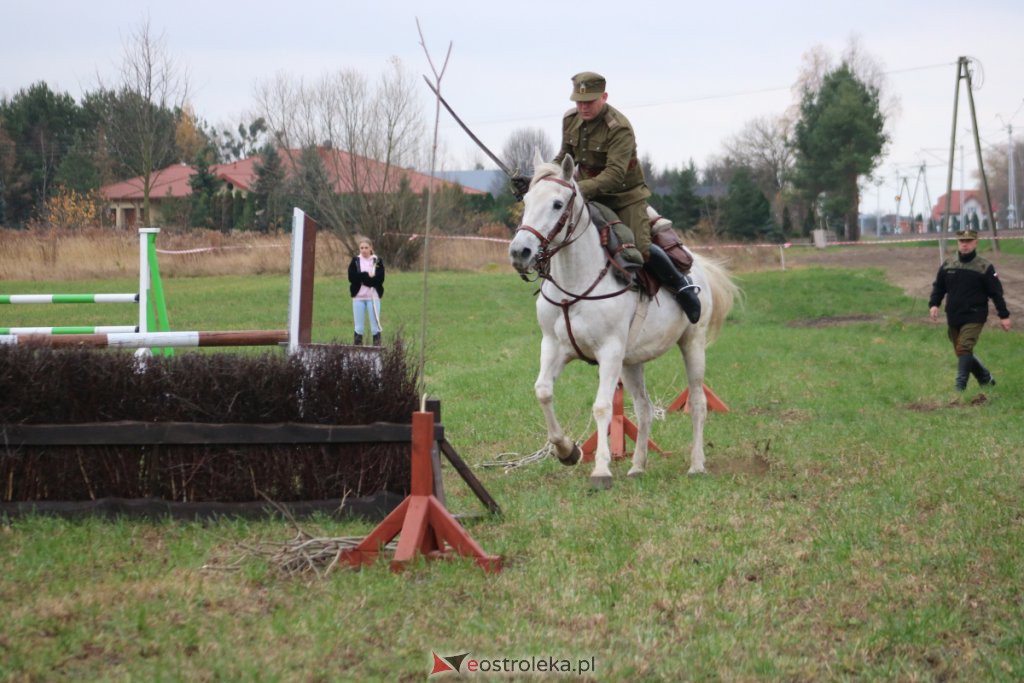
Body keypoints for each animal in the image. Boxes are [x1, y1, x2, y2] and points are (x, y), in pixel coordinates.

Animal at [509, 152, 737, 489]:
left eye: (557, 204)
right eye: (525, 200)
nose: (519, 252)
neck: (575, 284)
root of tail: (698, 266)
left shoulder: (609, 352)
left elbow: (603, 406)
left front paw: (601, 470)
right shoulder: (553, 347)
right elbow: (543, 391)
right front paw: (567, 451)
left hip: (692, 346)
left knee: (697, 403)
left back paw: (696, 464)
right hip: (632, 363)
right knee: (643, 409)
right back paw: (637, 465)